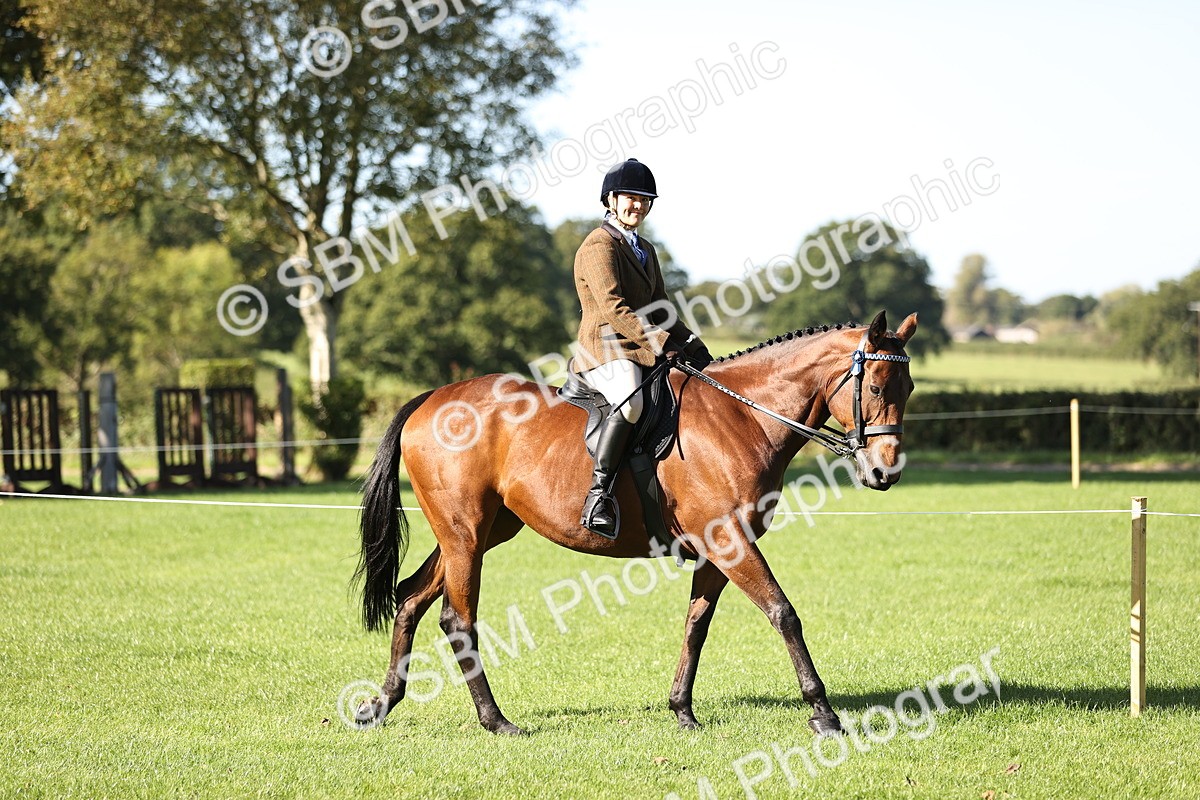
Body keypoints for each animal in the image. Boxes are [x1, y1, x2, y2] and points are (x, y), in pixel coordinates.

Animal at [353, 310, 918, 736]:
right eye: (876, 387)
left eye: (909, 387)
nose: (884, 472)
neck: (743, 417)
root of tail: (430, 398)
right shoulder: (731, 541)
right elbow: (784, 613)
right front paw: (823, 713)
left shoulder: (717, 547)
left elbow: (696, 624)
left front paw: (682, 710)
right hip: (465, 534)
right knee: (457, 618)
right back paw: (496, 721)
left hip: (483, 531)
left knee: (410, 597)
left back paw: (380, 705)